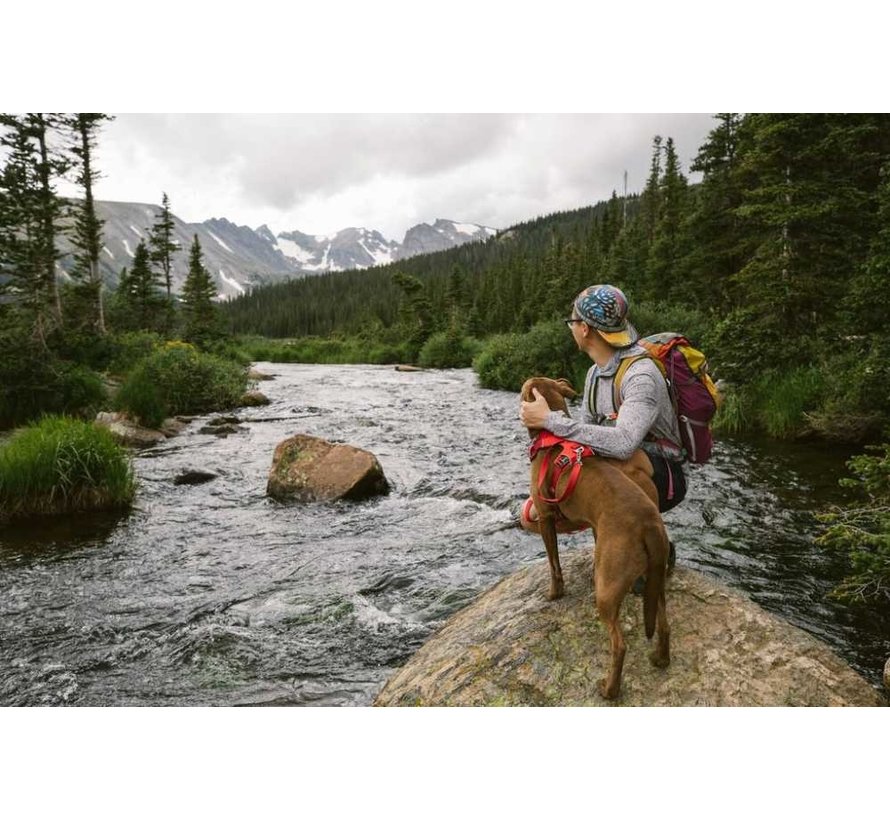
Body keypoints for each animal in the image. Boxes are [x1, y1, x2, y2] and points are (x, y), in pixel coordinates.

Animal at [520, 378, 664, 700]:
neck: (551, 439)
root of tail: (649, 523)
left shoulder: (545, 517)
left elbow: (554, 564)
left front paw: (554, 594)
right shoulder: (592, 524)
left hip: (607, 591)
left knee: (619, 644)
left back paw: (609, 690)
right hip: (656, 581)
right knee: (664, 623)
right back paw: (661, 659)